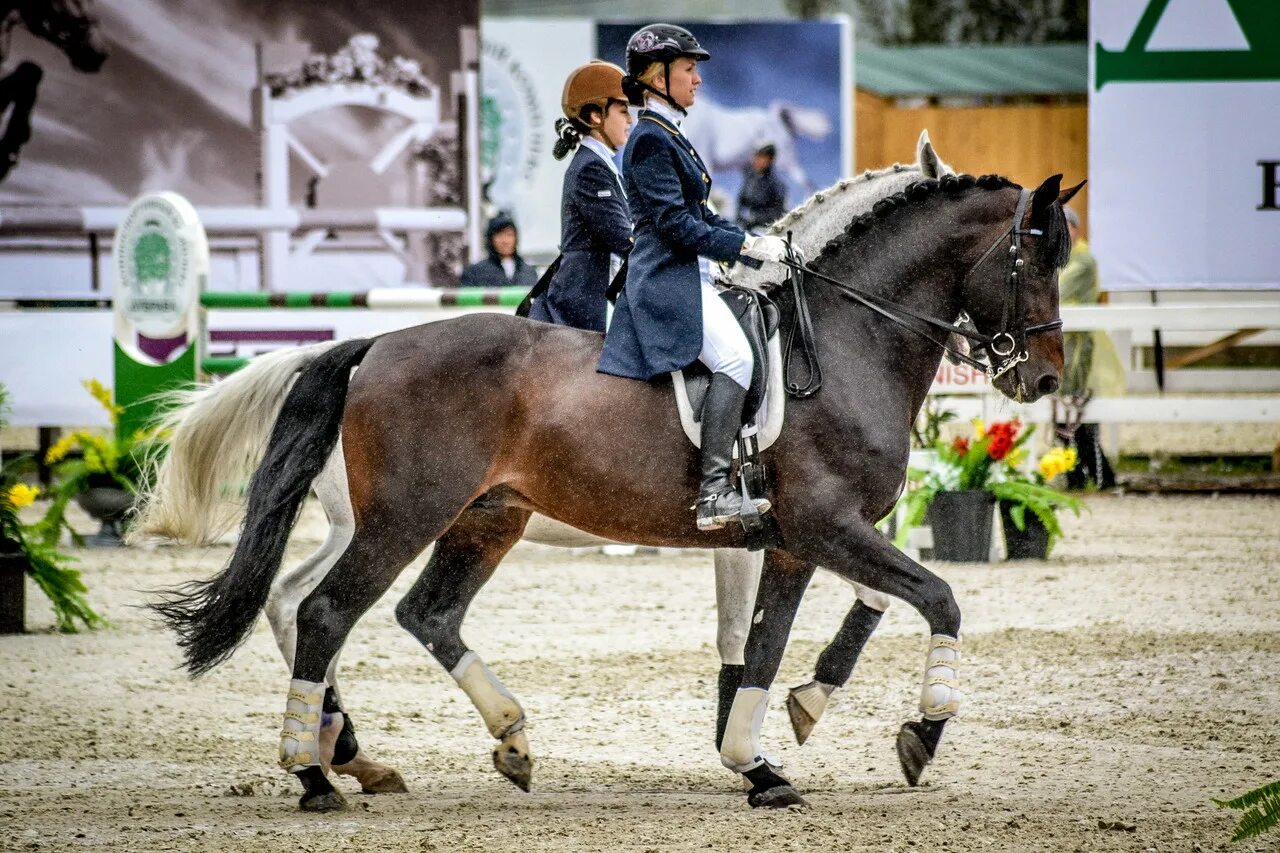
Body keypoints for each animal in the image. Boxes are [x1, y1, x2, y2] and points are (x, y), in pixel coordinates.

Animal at [142, 169, 1080, 809]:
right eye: (1032, 259)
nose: (1040, 379)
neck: (847, 341)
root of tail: (375, 344)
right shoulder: (823, 526)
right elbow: (938, 596)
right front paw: (921, 731)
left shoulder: (792, 540)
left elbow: (771, 645)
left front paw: (765, 754)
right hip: (402, 516)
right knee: (325, 610)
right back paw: (316, 774)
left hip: (480, 518)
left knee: (410, 612)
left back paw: (480, 743)